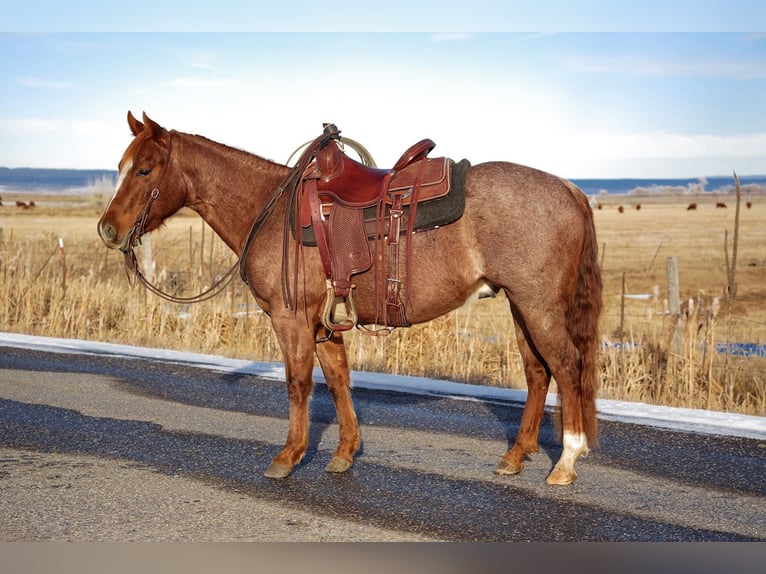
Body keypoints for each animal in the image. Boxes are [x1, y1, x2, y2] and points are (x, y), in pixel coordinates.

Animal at [98, 112, 603, 486]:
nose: (108, 230)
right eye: (120, 167)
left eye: (144, 169)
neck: (271, 210)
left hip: (538, 307)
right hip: (521, 306)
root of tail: (572, 189)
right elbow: (338, 381)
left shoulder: (291, 319)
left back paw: (566, 461)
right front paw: (344, 452)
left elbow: (298, 384)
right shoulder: (323, 324)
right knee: (538, 372)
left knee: (566, 365)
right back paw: (515, 456)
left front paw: (288, 456)